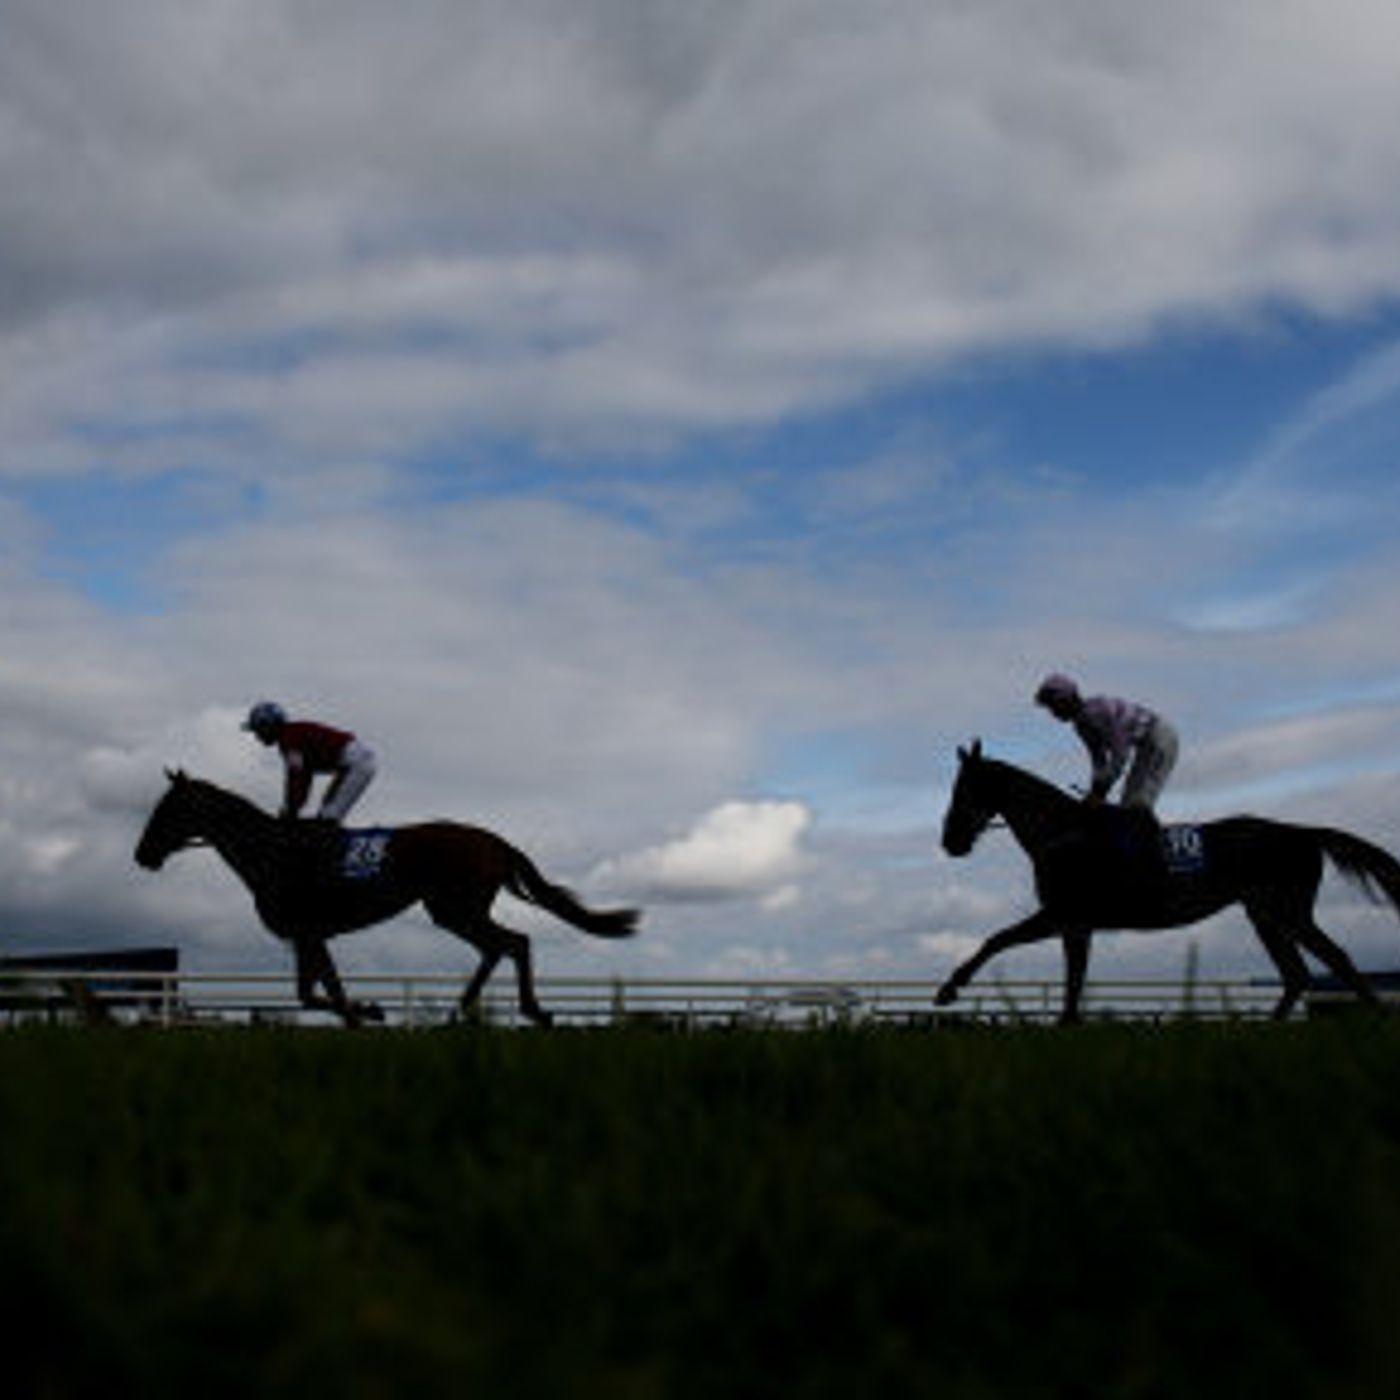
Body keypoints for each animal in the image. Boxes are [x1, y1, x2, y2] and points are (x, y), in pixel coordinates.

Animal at [134, 771, 640, 1027]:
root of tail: (496, 841)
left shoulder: (309, 932)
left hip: (455, 907)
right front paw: (368, 1009)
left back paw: (525, 1010)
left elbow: (328, 993)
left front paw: (365, 1013)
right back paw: (461, 1011)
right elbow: (312, 993)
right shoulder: (306, 935)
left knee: (513, 942)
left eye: (166, 809)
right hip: (453, 909)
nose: (142, 855)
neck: (272, 852)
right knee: (500, 946)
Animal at [935, 741, 1400, 1024]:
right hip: (1264, 915)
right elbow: (1073, 980)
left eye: (965, 788)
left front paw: (948, 989)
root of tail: (1302, 833)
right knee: (1297, 974)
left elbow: (998, 939)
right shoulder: (1075, 924)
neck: (1064, 833)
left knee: (1335, 958)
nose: (950, 840)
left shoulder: (1061, 914)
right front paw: (1066, 1024)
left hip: (1288, 911)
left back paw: (1378, 1016)